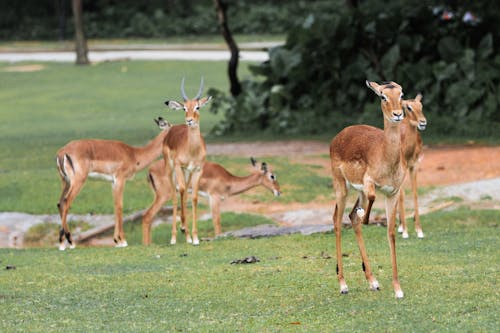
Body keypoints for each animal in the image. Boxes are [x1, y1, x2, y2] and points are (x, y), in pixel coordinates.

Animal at [56, 116, 171, 249]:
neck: (134, 154)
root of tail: (62, 152)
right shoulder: (120, 179)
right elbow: (120, 206)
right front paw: (123, 241)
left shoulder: (113, 182)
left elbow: (115, 206)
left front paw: (117, 240)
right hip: (78, 181)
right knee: (66, 202)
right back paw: (70, 242)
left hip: (65, 182)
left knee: (60, 203)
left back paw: (62, 244)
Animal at [141, 156, 282, 244]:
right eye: (272, 176)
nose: (279, 192)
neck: (228, 180)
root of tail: (150, 170)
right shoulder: (214, 197)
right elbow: (217, 221)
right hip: (164, 195)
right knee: (147, 215)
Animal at [164, 77, 211, 244]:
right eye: (184, 108)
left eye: (197, 107)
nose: (189, 120)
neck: (192, 150)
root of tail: (171, 129)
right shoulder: (179, 166)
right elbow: (182, 190)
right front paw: (184, 229)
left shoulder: (198, 170)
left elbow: (194, 198)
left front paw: (195, 237)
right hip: (171, 169)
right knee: (175, 193)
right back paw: (174, 237)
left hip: (187, 173)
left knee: (184, 194)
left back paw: (187, 234)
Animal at [332, 81, 406, 298]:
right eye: (382, 96)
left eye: (401, 94)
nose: (398, 114)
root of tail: (339, 136)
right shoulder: (369, 184)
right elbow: (372, 198)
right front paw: (364, 214)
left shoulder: (393, 193)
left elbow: (391, 232)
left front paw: (398, 289)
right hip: (342, 187)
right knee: (337, 221)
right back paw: (343, 285)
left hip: (357, 192)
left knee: (350, 218)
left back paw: (373, 282)